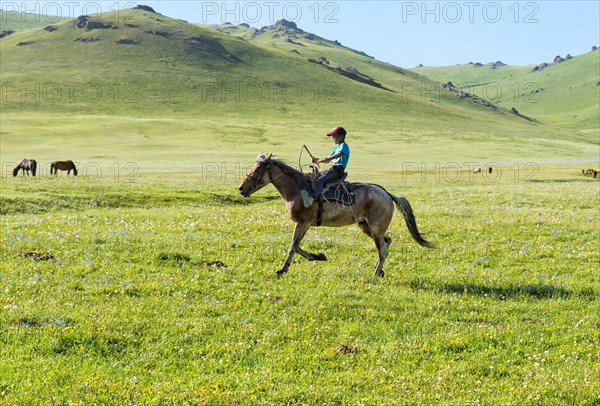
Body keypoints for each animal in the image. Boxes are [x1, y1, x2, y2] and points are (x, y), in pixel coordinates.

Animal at [238, 154, 432, 278]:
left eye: (257, 170)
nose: (241, 188)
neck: (297, 189)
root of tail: (387, 194)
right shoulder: (304, 224)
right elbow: (296, 246)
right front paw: (318, 256)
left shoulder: (302, 223)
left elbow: (293, 246)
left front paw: (282, 270)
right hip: (366, 226)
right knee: (387, 242)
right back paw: (380, 270)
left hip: (375, 229)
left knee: (383, 249)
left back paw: (375, 274)